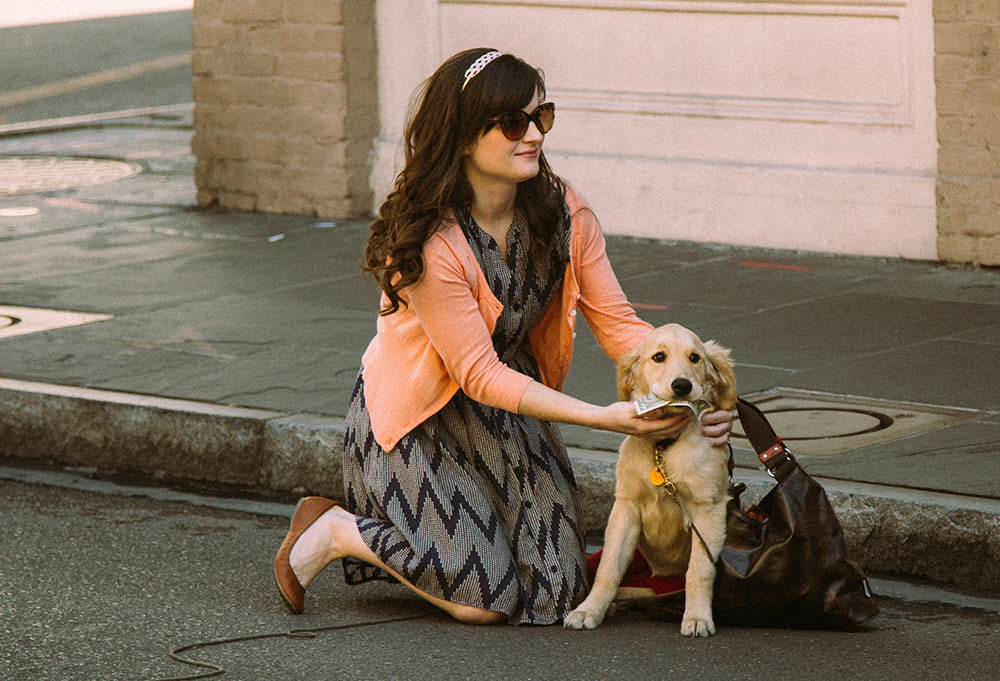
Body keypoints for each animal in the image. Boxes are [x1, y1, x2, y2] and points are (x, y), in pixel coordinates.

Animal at [568, 322, 740, 632]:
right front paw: (589, 609)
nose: (682, 385)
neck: (663, 446)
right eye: (659, 357)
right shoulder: (625, 507)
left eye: (695, 358)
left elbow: (699, 570)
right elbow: (608, 567)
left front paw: (697, 616)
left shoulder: (707, 510)